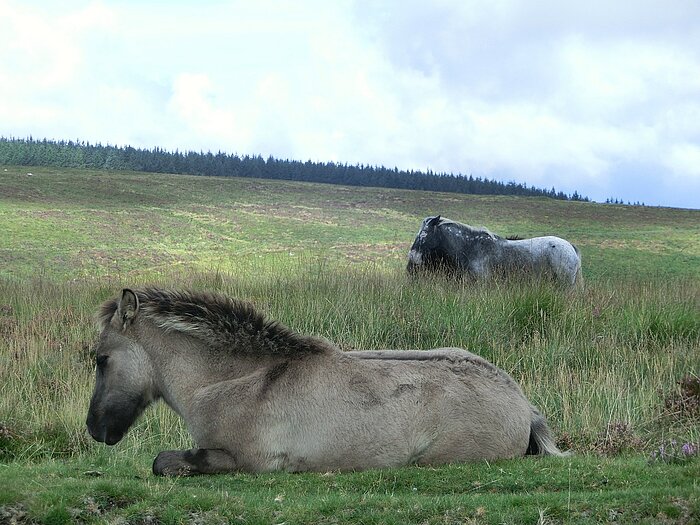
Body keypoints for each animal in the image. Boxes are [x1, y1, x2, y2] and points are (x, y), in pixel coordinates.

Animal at [87, 286, 568, 474]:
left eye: (101, 359)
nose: (94, 429)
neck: (236, 381)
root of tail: (521, 402)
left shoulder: (244, 461)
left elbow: (166, 461)